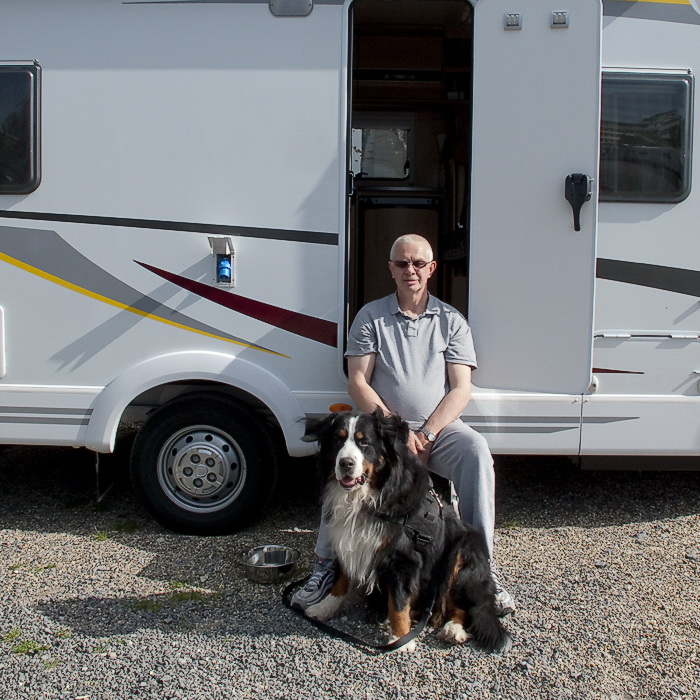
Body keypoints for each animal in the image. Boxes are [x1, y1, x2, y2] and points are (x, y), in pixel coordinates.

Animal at [300, 408, 508, 652]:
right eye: (338, 440)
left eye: (364, 442)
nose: (345, 463)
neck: (371, 495)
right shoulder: (347, 538)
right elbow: (341, 578)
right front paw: (325, 607)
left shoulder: (403, 558)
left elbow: (398, 603)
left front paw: (401, 639)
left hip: (462, 553)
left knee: (462, 606)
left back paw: (453, 629)